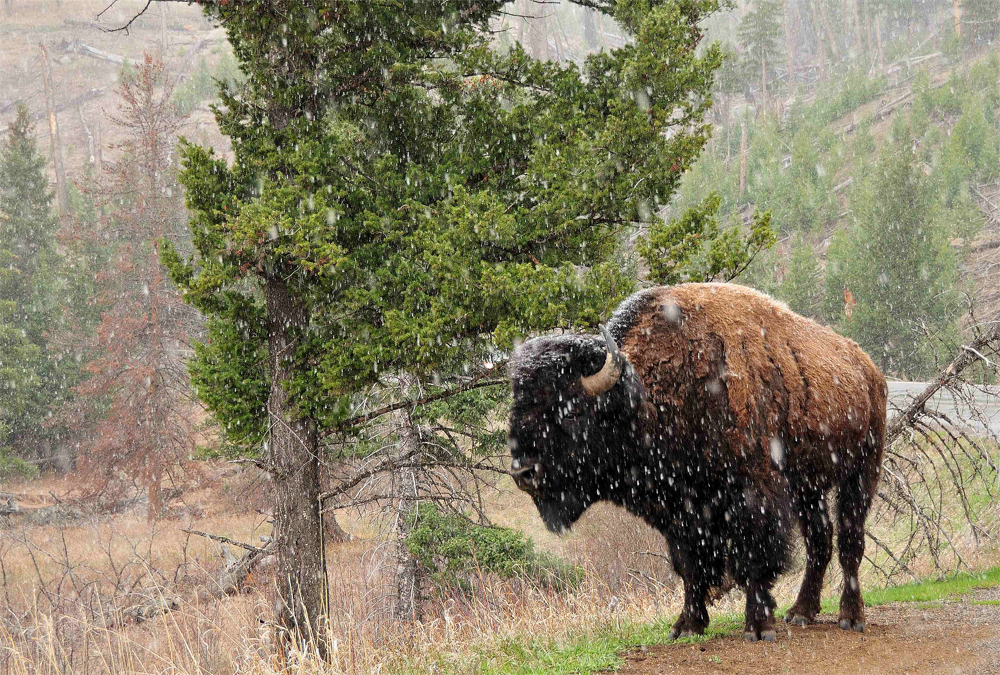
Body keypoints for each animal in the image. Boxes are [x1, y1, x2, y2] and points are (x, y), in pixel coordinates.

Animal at [508, 284, 884, 644]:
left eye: (570, 411)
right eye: (516, 407)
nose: (523, 473)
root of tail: (867, 367)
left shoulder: (755, 496)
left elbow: (756, 557)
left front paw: (759, 627)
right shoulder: (681, 511)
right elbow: (690, 565)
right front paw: (687, 625)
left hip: (862, 471)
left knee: (850, 541)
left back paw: (851, 617)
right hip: (810, 487)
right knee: (820, 539)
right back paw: (802, 612)